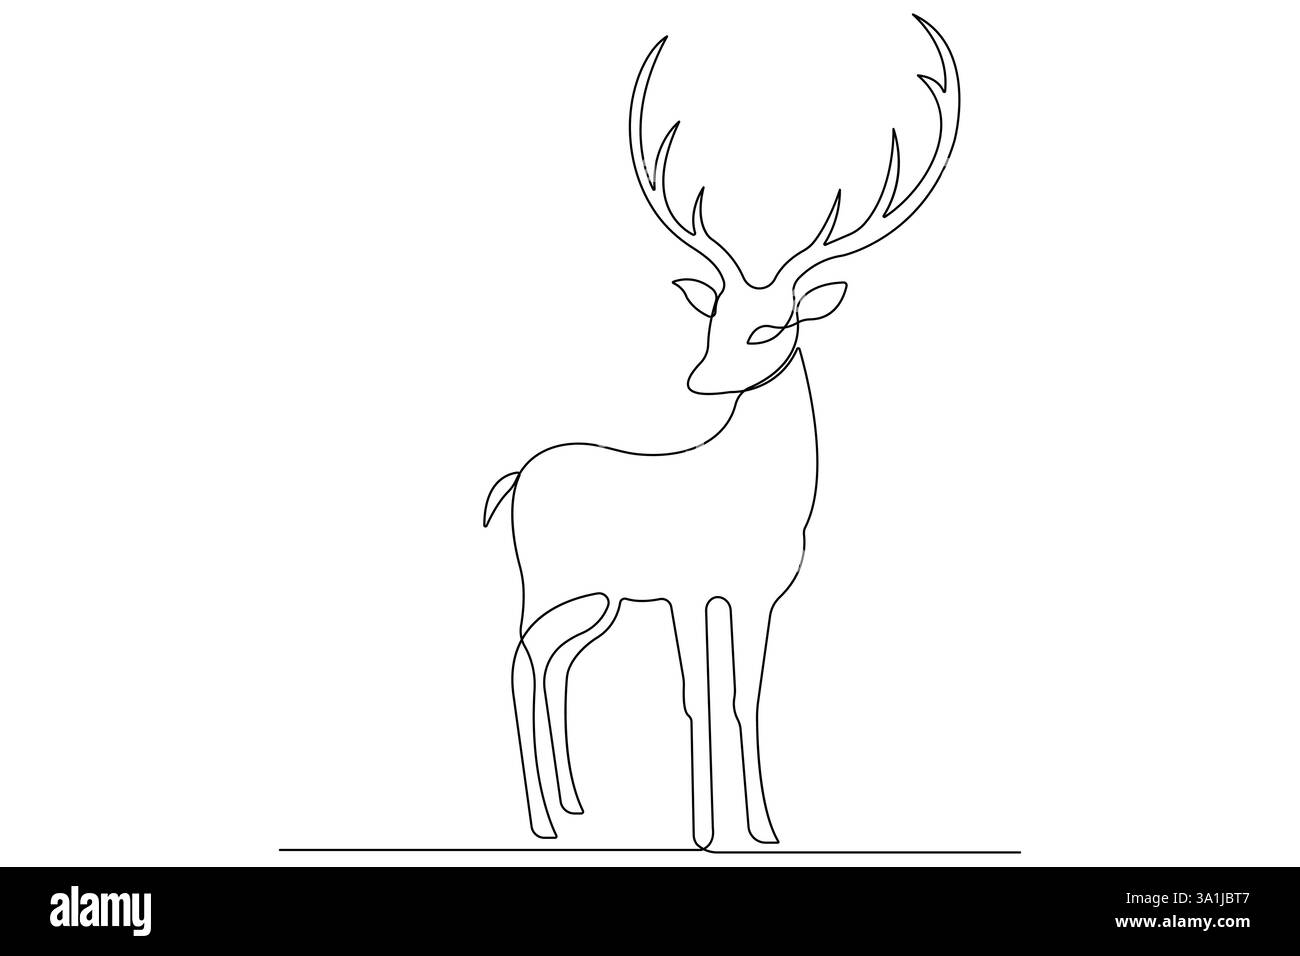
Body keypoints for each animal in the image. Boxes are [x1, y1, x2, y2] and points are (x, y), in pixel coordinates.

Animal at [483, 15, 959, 848]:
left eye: (771, 327)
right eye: (710, 319)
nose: (700, 380)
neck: (756, 498)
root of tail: (512, 480)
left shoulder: (758, 595)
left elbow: (747, 697)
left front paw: (763, 828)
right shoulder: (688, 590)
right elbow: (696, 697)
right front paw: (705, 832)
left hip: (599, 599)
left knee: (556, 663)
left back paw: (575, 804)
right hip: (543, 582)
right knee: (516, 661)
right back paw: (541, 821)